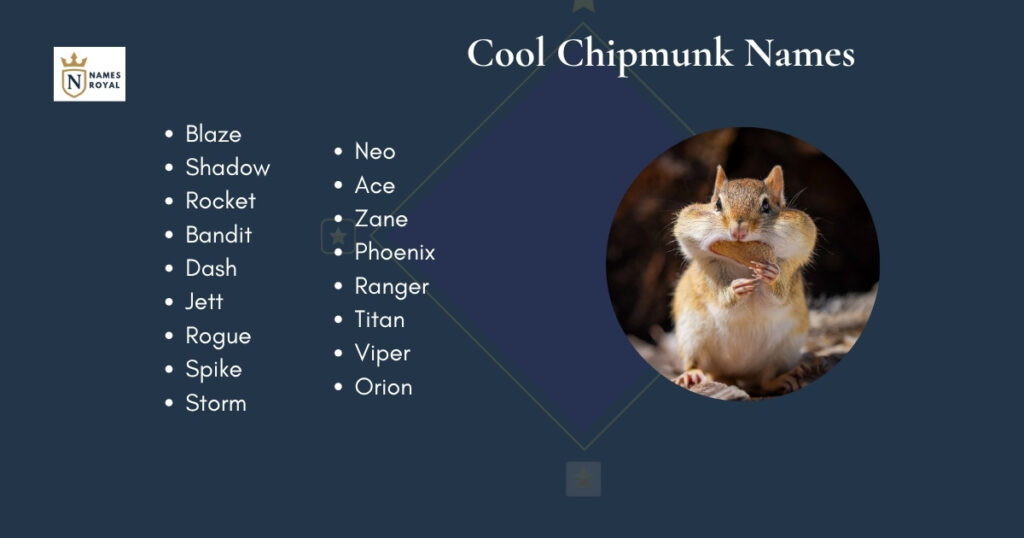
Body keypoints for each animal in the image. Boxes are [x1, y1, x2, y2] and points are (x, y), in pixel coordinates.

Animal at [671, 165, 817, 394]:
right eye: (717, 204)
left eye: (766, 205)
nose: (738, 231)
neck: (743, 264)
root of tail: (737, 374)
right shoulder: (709, 277)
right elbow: (720, 299)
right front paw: (737, 288)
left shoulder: (789, 275)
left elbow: (779, 297)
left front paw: (770, 277)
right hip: (691, 337)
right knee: (696, 362)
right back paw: (691, 375)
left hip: (786, 349)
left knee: (766, 379)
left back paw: (785, 377)